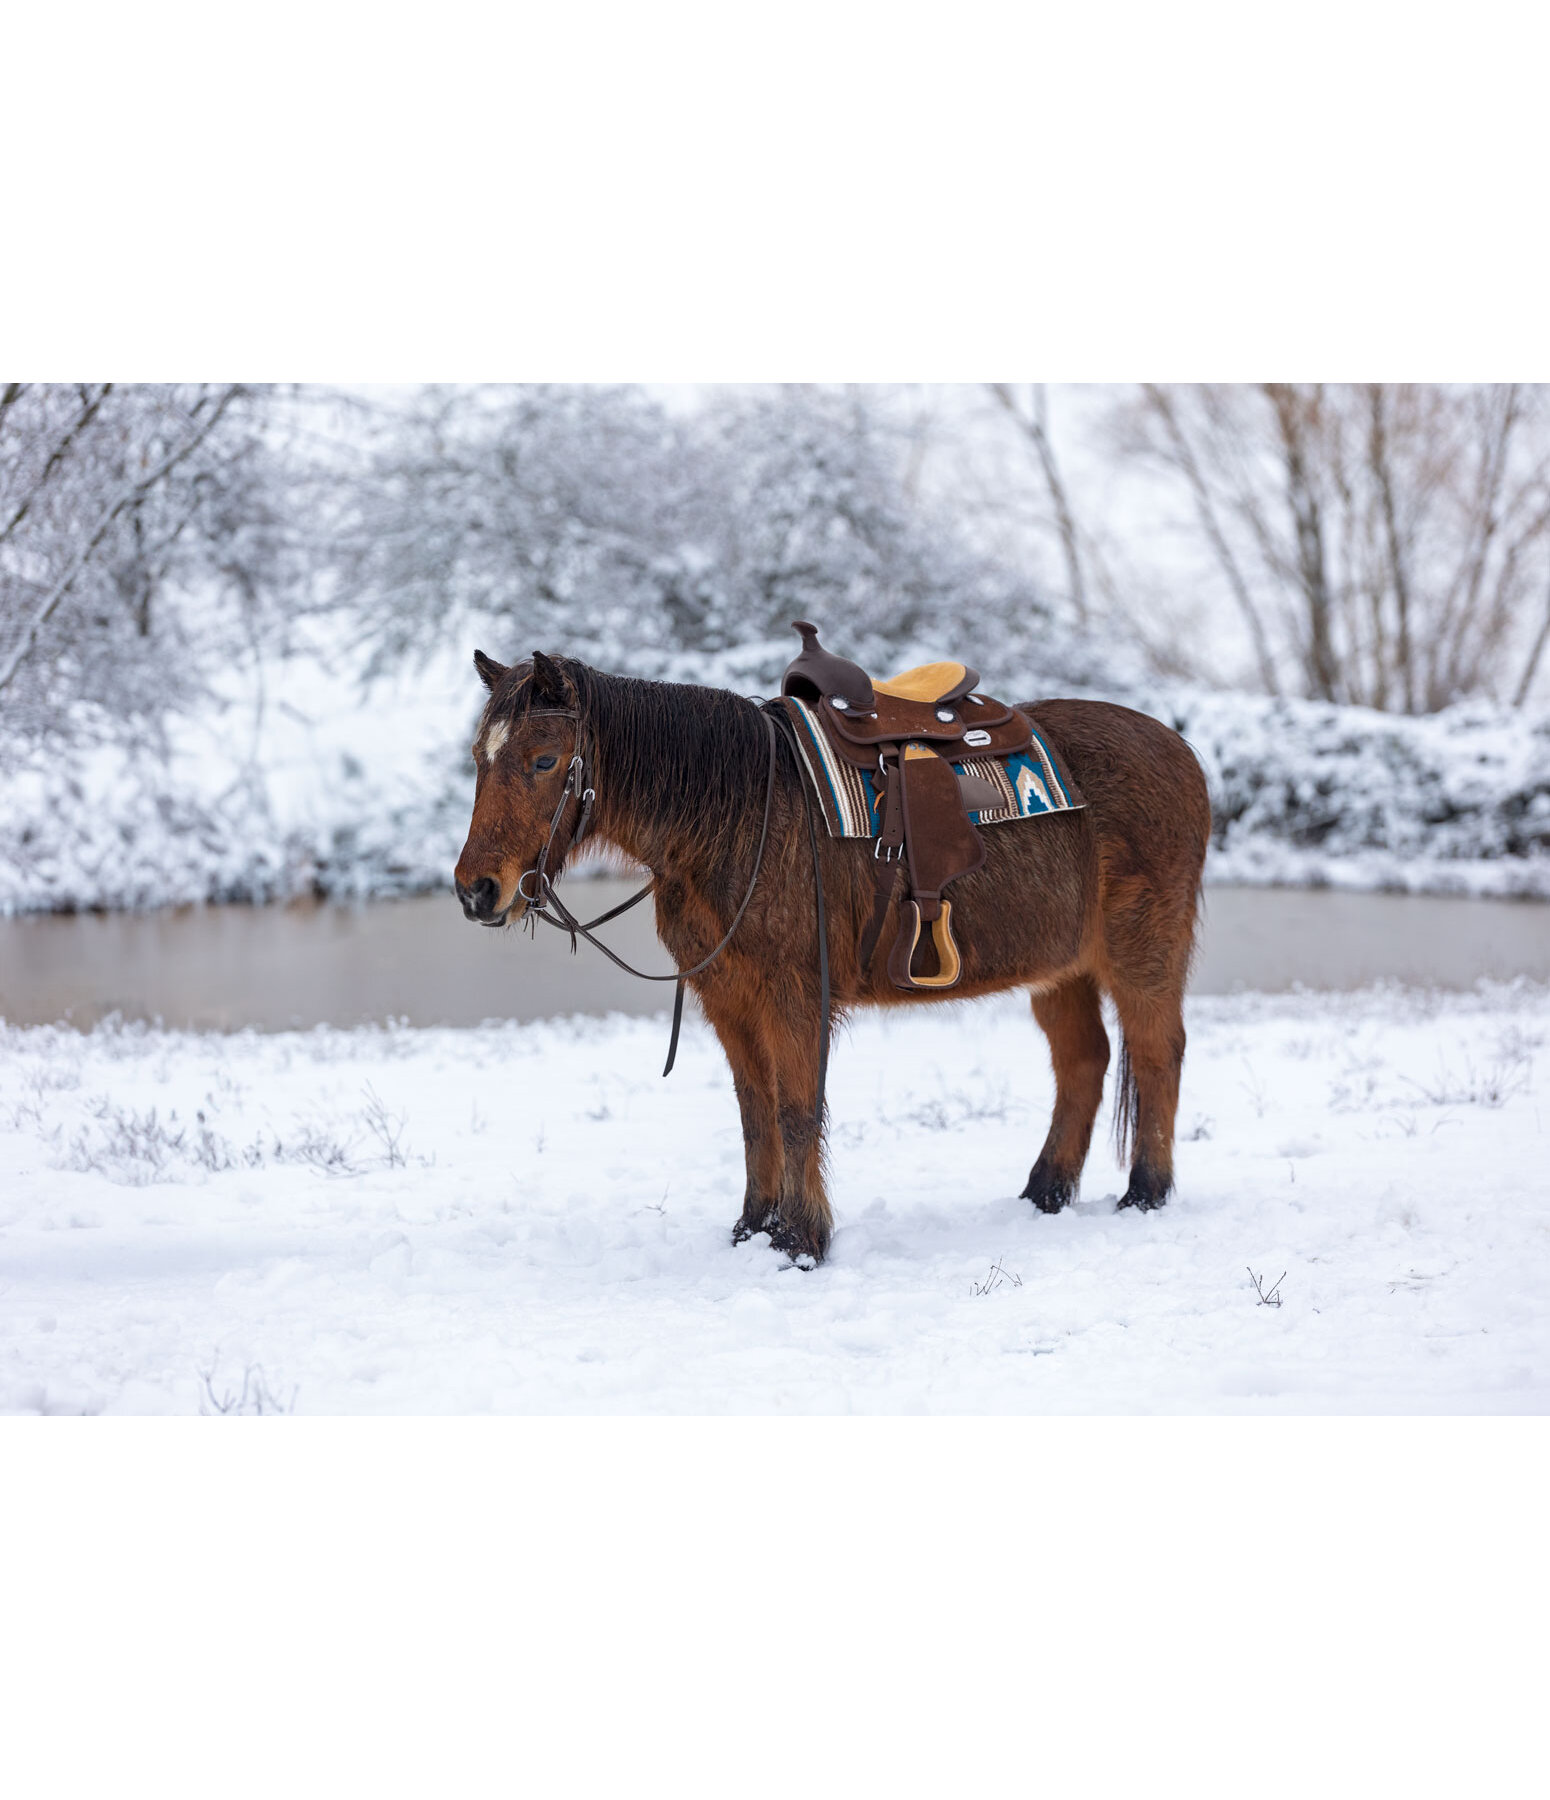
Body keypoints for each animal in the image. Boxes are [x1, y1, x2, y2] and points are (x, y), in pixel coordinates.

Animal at [454, 647, 1212, 1266]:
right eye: (480, 760)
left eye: (544, 761)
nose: (476, 890)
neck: (742, 814)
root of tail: (1179, 748)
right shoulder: (728, 1000)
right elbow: (755, 1112)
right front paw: (753, 1228)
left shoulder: (793, 997)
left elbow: (796, 1111)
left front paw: (801, 1240)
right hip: (1062, 969)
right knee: (1084, 1060)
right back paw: (1044, 1192)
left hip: (1143, 950)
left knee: (1157, 1051)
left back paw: (1145, 1194)